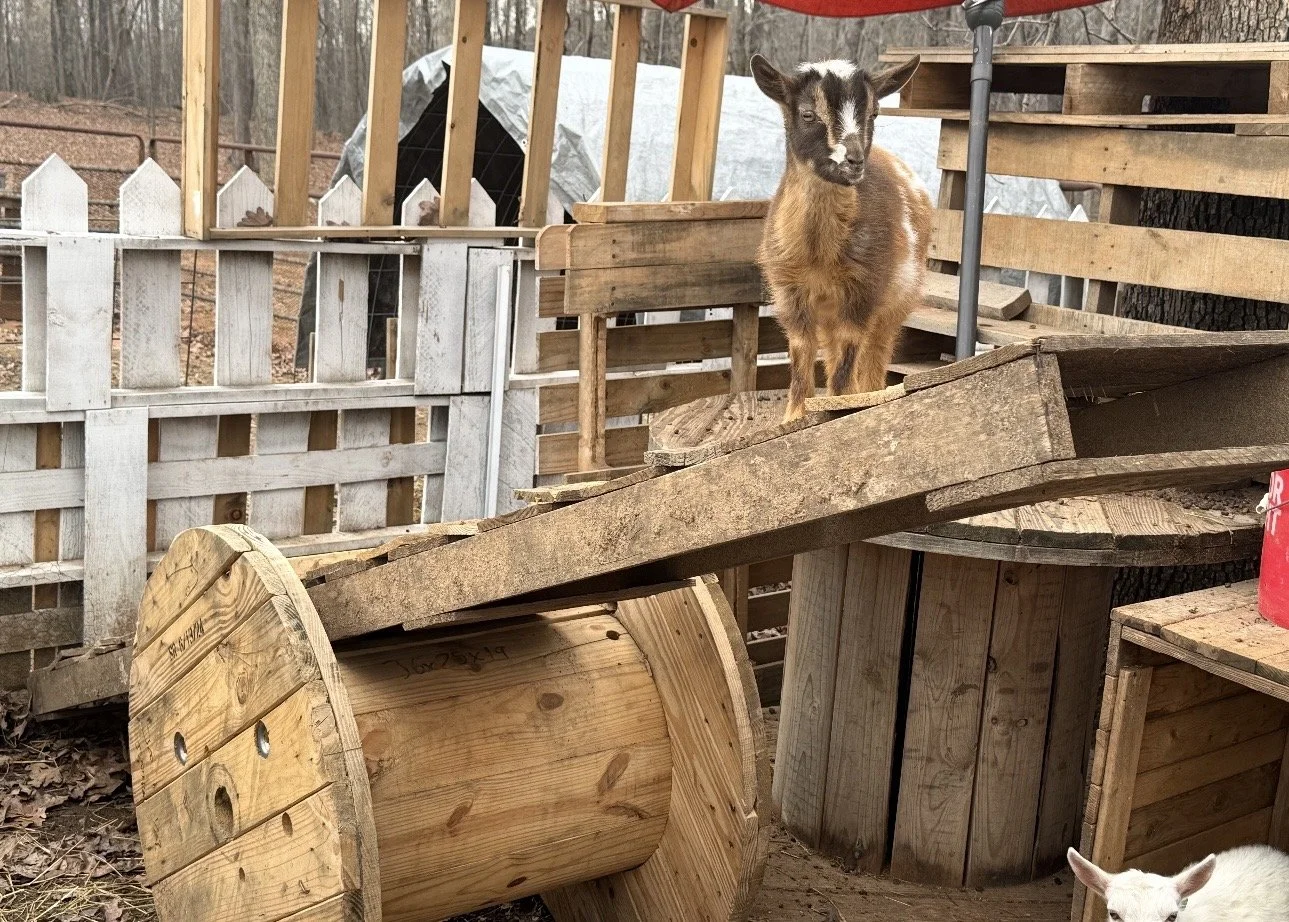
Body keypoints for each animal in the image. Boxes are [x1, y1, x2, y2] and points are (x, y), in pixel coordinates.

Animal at [751, 54, 931, 422]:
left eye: (874, 113)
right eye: (808, 113)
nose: (854, 161)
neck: (818, 256)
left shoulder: (863, 290)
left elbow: (848, 356)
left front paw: (838, 407)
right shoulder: (790, 291)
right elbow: (801, 352)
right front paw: (795, 415)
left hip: (895, 302)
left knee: (873, 354)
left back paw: (867, 393)